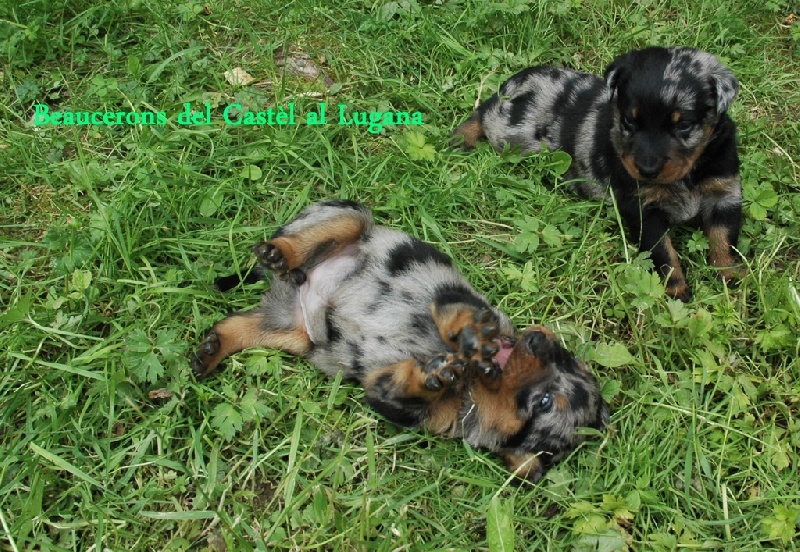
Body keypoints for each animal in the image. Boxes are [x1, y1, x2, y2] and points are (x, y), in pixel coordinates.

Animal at [191, 200, 609, 483]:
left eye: (544, 402)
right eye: (565, 357)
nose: (539, 341)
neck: (476, 379)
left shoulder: (393, 396)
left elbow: (404, 387)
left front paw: (434, 376)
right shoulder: (459, 299)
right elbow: (459, 316)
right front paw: (473, 337)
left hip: (292, 334)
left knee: (241, 324)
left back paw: (209, 351)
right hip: (346, 217)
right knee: (303, 238)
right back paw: (278, 253)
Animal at [452, 46, 744, 301]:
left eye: (683, 125)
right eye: (629, 121)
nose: (647, 169)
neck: (687, 176)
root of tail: (520, 79)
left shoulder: (725, 193)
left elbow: (724, 238)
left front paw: (729, 276)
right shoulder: (642, 207)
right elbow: (662, 252)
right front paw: (676, 289)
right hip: (508, 132)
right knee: (486, 111)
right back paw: (462, 136)